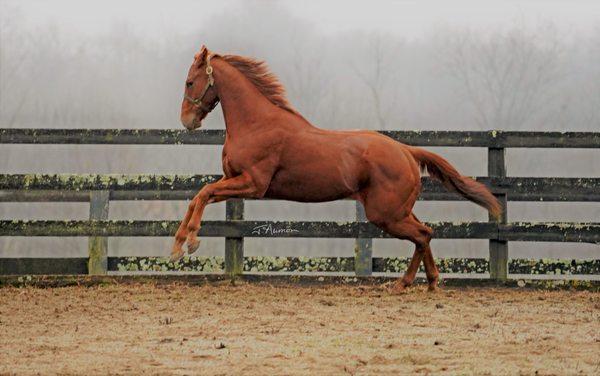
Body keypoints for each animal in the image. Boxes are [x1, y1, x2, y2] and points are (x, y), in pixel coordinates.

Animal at [171, 45, 500, 292]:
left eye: (189, 82)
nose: (187, 121)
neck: (257, 124)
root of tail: (406, 151)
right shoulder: (232, 179)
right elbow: (198, 197)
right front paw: (177, 247)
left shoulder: (253, 183)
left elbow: (203, 193)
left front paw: (192, 242)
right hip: (399, 210)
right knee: (426, 232)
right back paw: (429, 283)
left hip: (386, 214)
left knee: (422, 235)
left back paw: (405, 283)